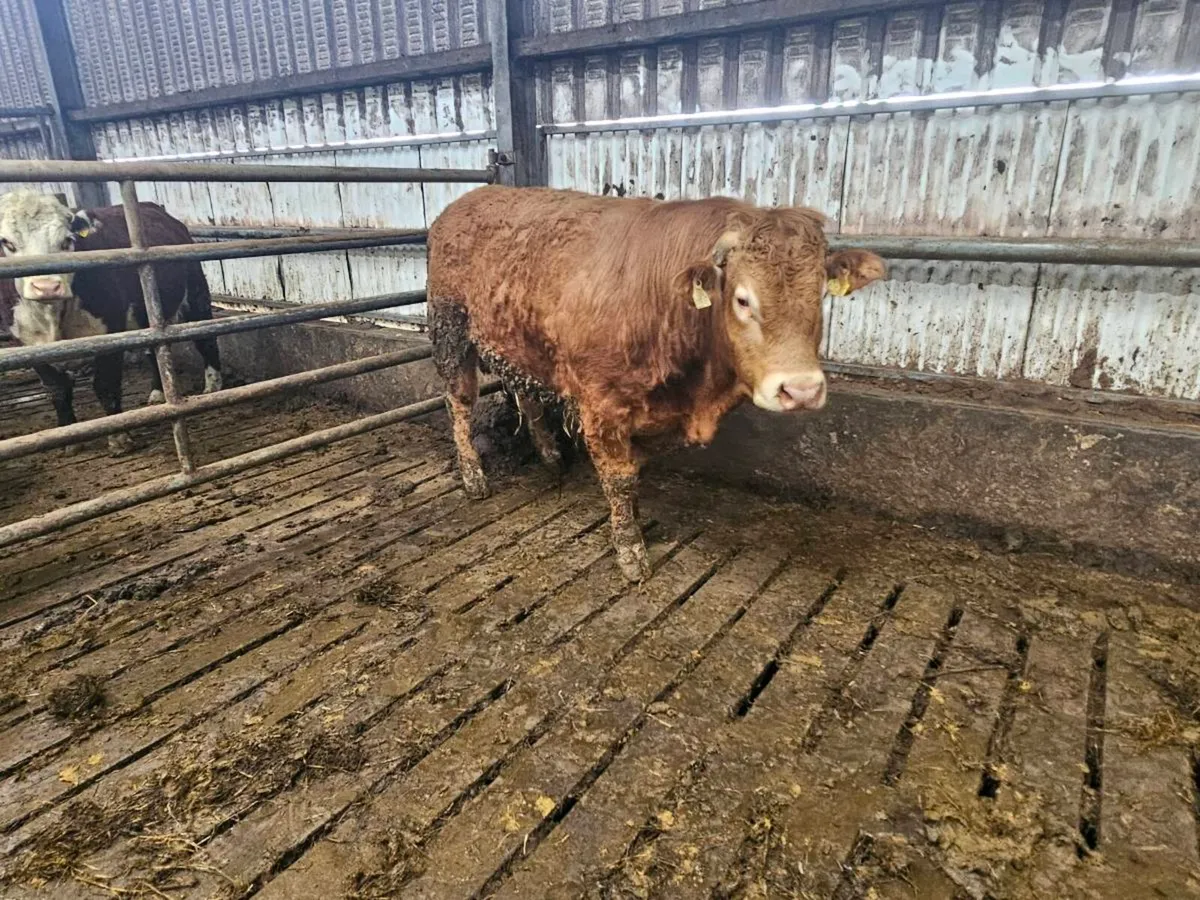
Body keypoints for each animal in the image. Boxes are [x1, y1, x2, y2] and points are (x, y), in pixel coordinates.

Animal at [0, 190, 222, 452]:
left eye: (66, 241)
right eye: (7, 243)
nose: (46, 286)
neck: (52, 317)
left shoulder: (111, 333)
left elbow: (106, 386)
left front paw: (119, 438)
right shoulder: (28, 346)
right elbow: (57, 390)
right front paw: (67, 436)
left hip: (196, 294)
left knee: (206, 339)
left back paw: (213, 386)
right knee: (154, 351)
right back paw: (158, 393)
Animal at [427, 186, 885, 582]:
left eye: (821, 293)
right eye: (742, 299)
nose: (801, 390)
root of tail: (470, 197)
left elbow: (637, 470)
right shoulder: (600, 406)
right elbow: (620, 477)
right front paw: (630, 550)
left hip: (519, 341)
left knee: (525, 394)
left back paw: (550, 454)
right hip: (451, 331)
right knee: (458, 402)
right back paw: (474, 477)